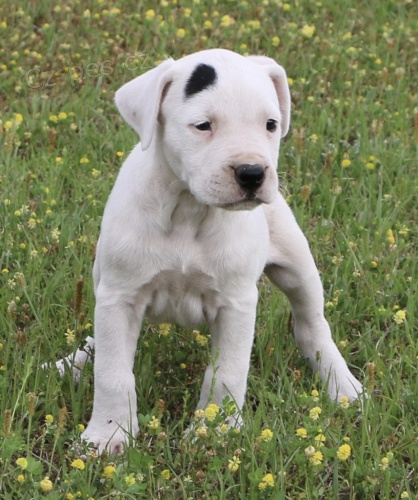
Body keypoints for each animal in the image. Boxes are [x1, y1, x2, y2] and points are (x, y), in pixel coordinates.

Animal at [53, 49, 362, 454]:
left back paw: (342, 385)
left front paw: (215, 432)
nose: (253, 173)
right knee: (98, 344)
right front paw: (108, 435)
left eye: (270, 124)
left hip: (298, 266)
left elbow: (227, 373)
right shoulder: (118, 298)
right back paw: (73, 362)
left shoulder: (236, 305)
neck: (188, 209)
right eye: (203, 125)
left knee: (312, 326)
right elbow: (112, 372)